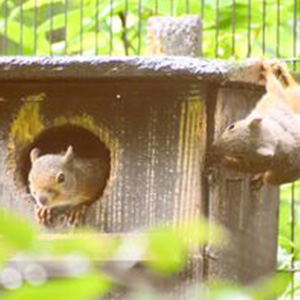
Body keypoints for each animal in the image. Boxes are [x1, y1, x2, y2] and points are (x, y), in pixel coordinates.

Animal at [212, 59, 300, 189]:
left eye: (240, 155)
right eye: (232, 126)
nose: (214, 147)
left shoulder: (260, 162)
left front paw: (220, 159)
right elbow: (275, 89)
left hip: (281, 174)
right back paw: (283, 72)